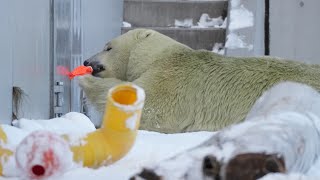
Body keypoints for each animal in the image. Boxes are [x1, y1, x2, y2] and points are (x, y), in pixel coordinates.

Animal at [79, 28, 320, 134]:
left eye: (108, 47)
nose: (86, 61)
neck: (159, 56)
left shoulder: (173, 79)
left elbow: (150, 107)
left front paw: (83, 78)